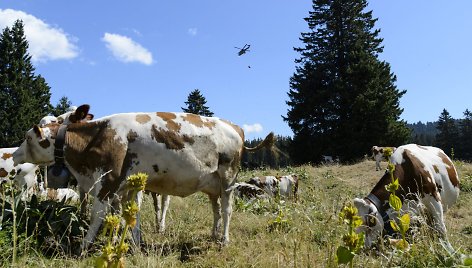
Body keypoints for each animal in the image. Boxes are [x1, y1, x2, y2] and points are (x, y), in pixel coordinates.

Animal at [12, 110, 274, 252]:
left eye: (28, 138)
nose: (14, 155)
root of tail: (235, 126)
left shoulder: (108, 180)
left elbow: (98, 215)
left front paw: (84, 246)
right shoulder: (125, 186)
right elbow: (128, 216)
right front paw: (132, 243)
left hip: (228, 178)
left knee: (227, 210)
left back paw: (224, 240)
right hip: (213, 184)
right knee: (216, 209)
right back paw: (214, 234)